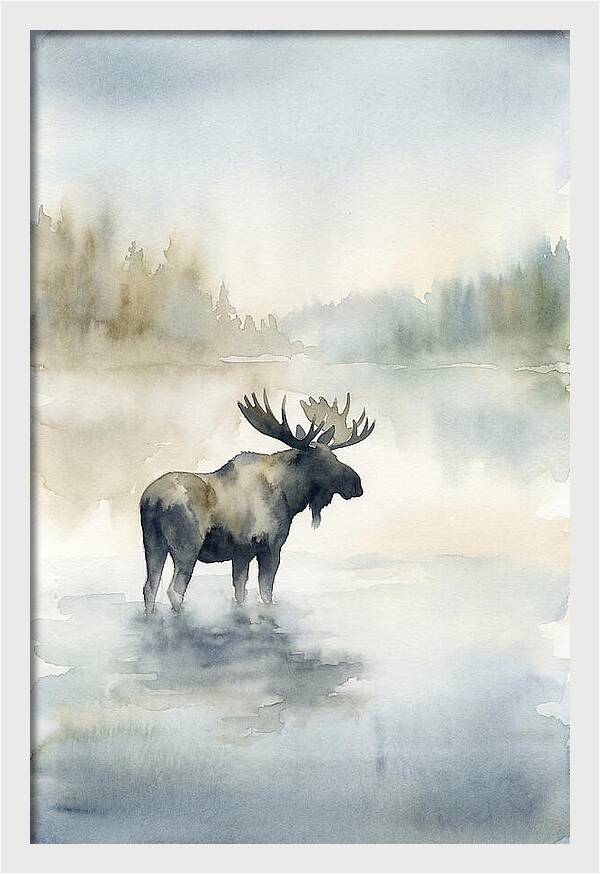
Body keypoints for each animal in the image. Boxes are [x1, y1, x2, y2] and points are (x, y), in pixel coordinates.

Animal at [140, 391, 375, 614]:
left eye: (335, 457)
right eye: (322, 461)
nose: (357, 484)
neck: (290, 495)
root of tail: (152, 500)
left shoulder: (241, 553)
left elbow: (240, 592)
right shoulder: (270, 546)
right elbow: (266, 592)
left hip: (153, 544)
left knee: (150, 586)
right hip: (187, 547)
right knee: (175, 590)